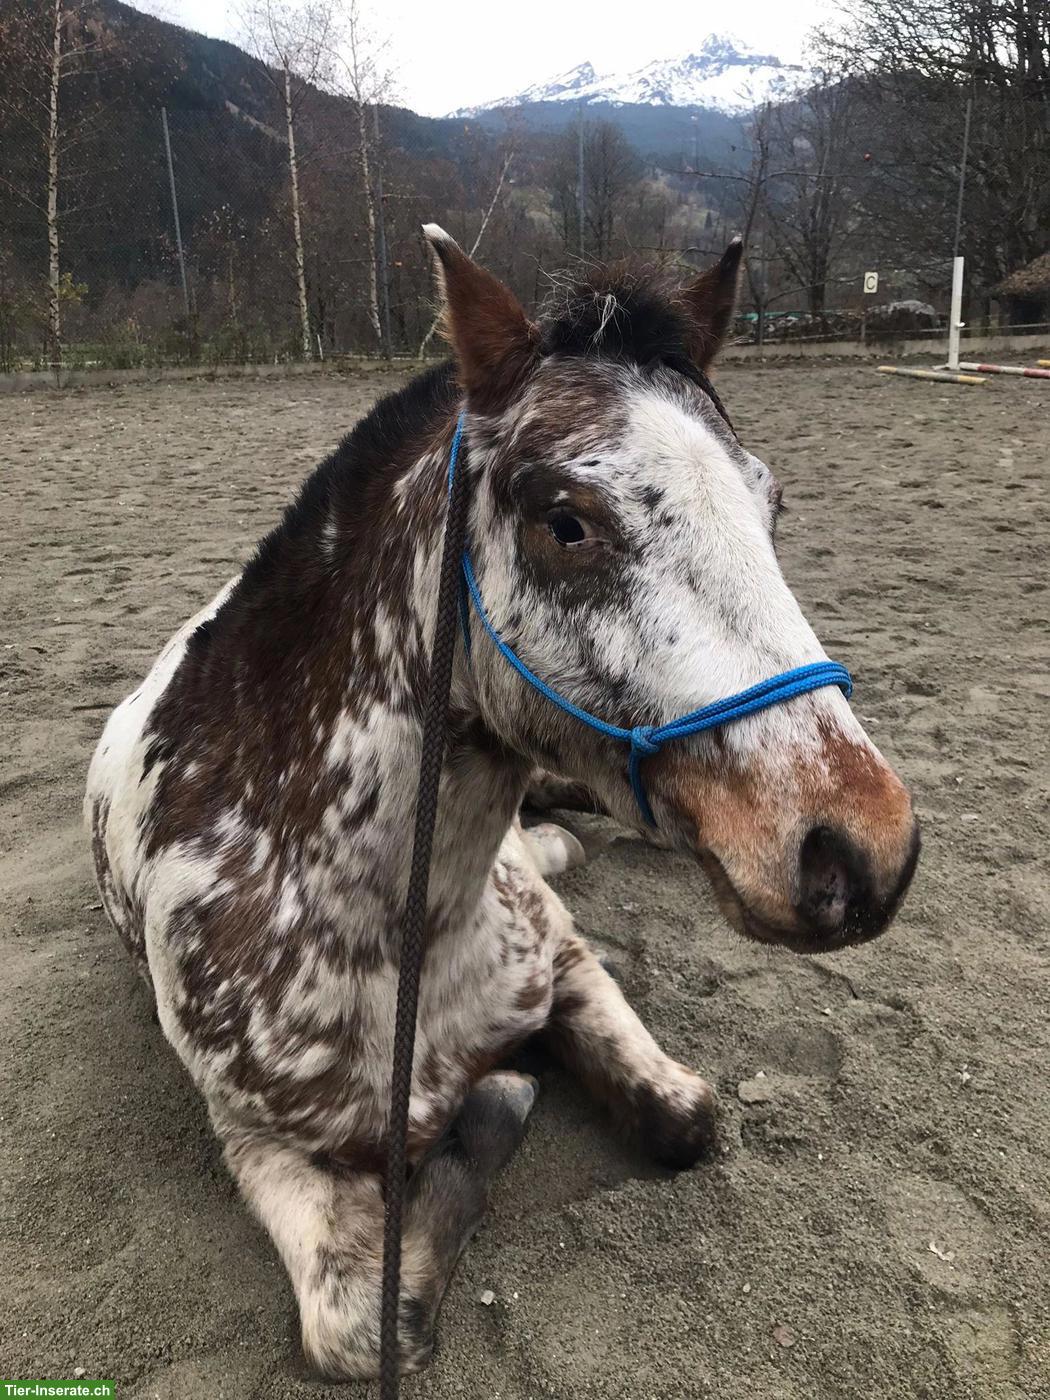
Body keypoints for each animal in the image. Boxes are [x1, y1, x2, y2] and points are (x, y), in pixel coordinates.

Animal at [85, 227, 919, 1379]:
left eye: (770, 504)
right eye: (566, 522)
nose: (861, 848)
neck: (391, 926)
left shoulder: (565, 963)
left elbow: (688, 1118)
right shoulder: (258, 1143)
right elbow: (362, 1320)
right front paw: (500, 1100)